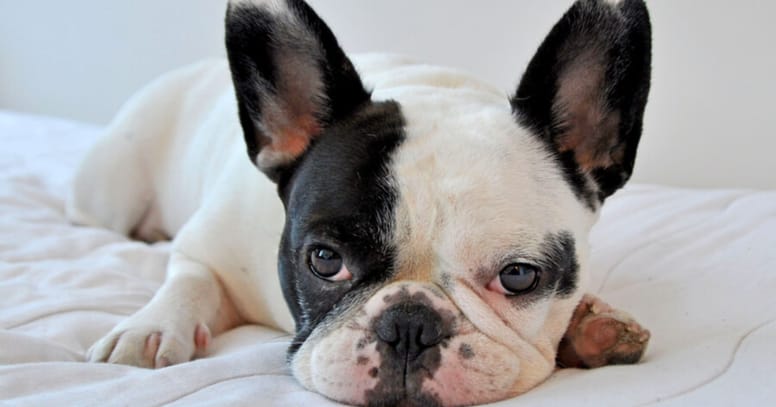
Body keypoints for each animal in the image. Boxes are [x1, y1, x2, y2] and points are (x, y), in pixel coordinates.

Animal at [66, 1, 652, 406]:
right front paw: (149, 328)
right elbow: (189, 280)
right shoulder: (205, 247)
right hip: (113, 187)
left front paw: (593, 325)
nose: (409, 325)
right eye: (325, 260)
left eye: (519, 277)